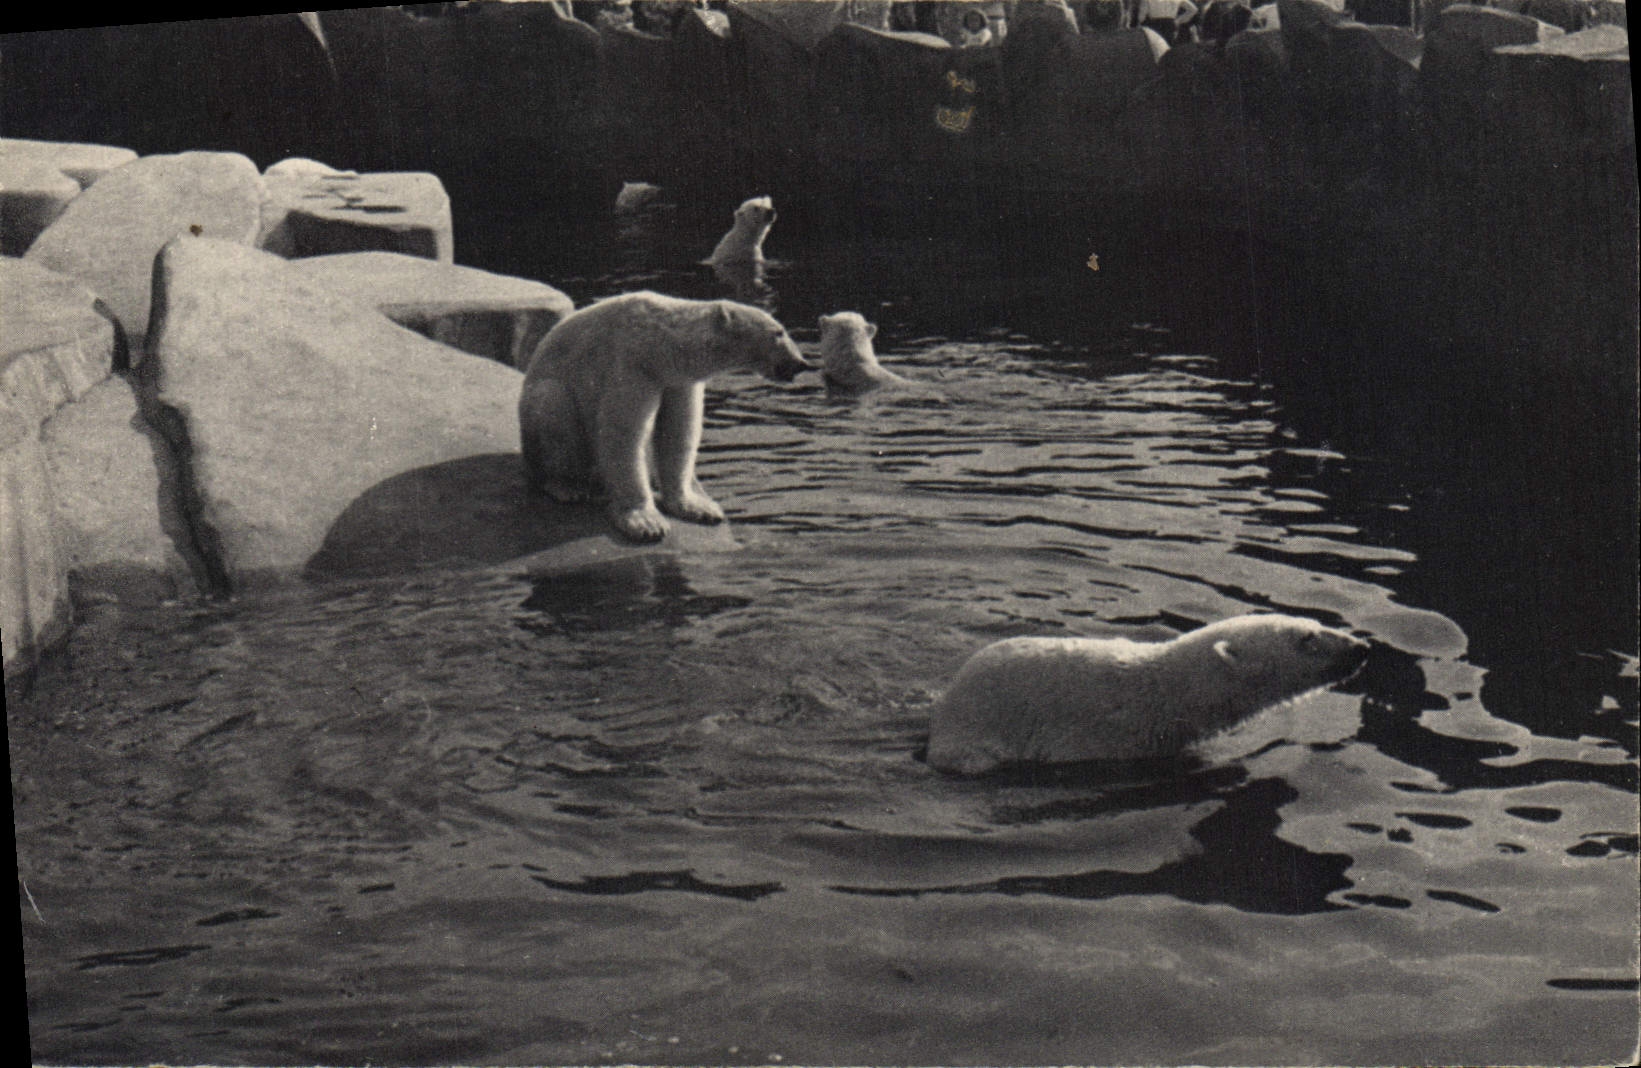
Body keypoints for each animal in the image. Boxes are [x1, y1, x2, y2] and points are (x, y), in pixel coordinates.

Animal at [518, 290, 812, 543]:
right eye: (778, 332)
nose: (801, 364)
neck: (660, 343)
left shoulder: (677, 379)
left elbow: (678, 431)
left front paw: (698, 507)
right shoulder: (631, 366)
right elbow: (623, 433)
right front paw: (646, 522)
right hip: (543, 408)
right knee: (552, 404)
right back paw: (566, 486)